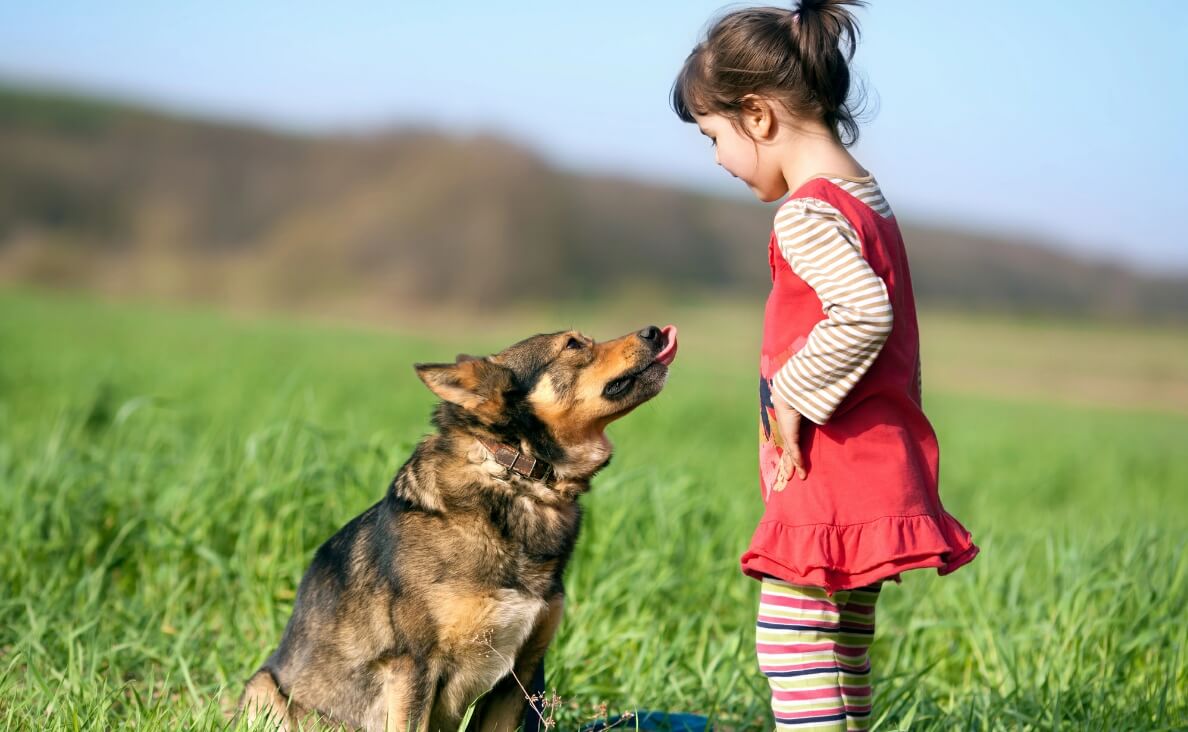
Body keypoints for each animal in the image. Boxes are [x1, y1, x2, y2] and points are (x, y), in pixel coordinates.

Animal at [238, 323, 679, 727]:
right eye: (572, 344)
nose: (655, 331)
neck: (516, 476)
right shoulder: (414, 667)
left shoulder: (521, 674)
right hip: (264, 690)